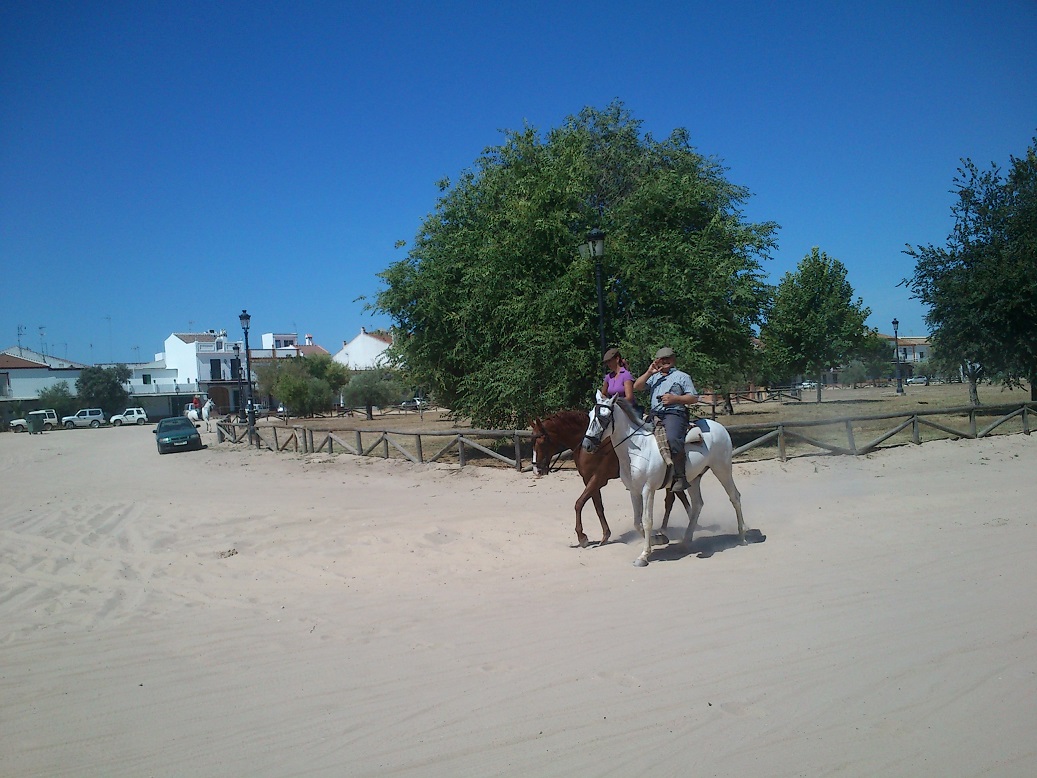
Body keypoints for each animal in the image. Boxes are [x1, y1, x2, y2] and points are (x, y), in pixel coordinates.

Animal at [530, 410, 684, 543]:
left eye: (542, 442)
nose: (536, 470)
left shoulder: (597, 478)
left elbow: (579, 503)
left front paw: (582, 537)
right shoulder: (589, 480)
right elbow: (598, 506)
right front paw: (605, 535)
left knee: (671, 500)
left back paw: (665, 531)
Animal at [584, 396, 746, 568]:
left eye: (603, 417)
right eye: (590, 416)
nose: (587, 445)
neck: (639, 448)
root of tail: (719, 427)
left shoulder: (648, 490)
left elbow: (647, 521)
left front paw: (643, 556)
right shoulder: (634, 491)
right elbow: (637, 522)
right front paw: (657, 539)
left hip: (722, 469)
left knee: (734, 497)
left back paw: (742, 535)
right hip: (694, 478)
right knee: (697, 505)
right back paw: (686, 542)